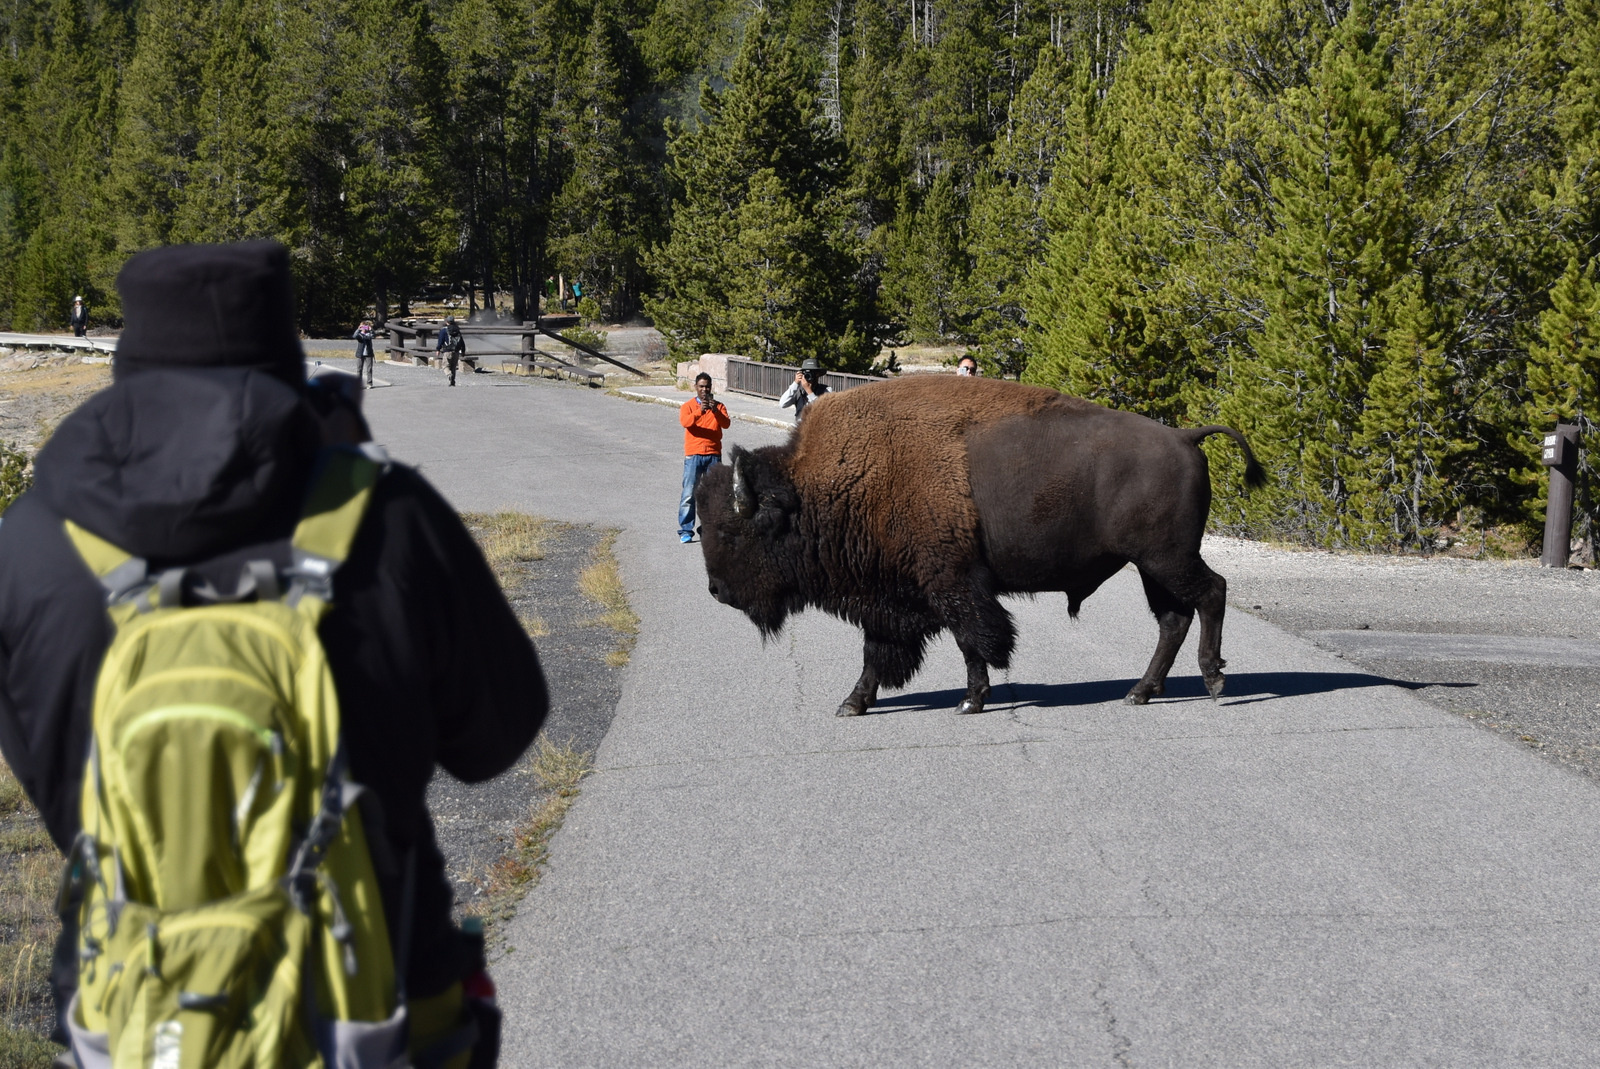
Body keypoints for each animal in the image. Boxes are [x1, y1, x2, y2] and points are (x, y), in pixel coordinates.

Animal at [697, 376, 1260, 716]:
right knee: (1173, 619)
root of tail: (1185, 438)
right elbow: (880, 651)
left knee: (1211, 593)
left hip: (1167, 558)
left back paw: (1213, 682)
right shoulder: (893, 597)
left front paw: (970, 701)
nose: (716, 590)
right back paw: (1140, 692)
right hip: (1150, 565)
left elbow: (974, 639)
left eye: (729, 532)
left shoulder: (952, 584)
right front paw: (853, 703)